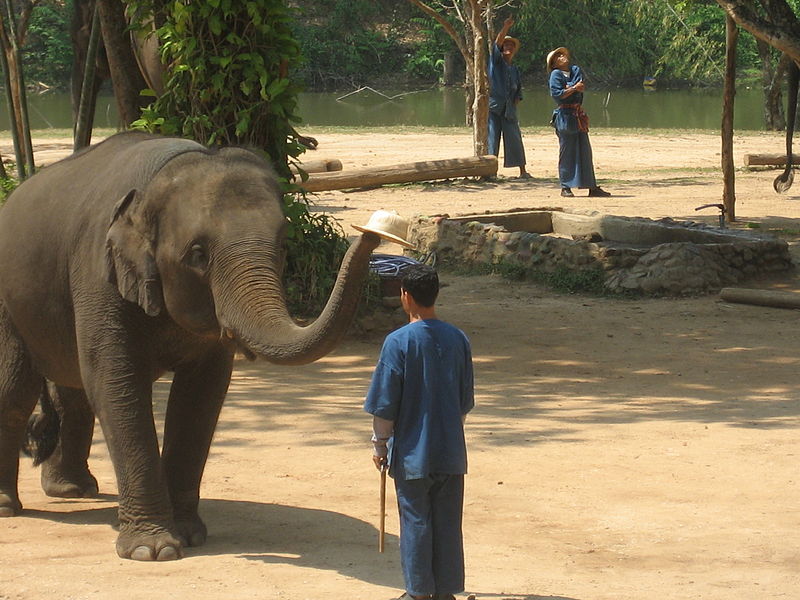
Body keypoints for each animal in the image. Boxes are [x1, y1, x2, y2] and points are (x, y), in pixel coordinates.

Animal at [0, 131, 380, 560]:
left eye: (283, 247)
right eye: (197, 255)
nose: (371, 232)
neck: (155, 182)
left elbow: (201, 393)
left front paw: (190, 535)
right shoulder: (97, 273)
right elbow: (115, 383)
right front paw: (154, 551)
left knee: (71, 392)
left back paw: (72, 490)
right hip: (7, 304)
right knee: (14, 393)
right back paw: (9, 507)